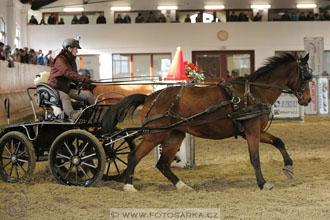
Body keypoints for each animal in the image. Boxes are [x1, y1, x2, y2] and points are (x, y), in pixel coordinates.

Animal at [105, 52, 312, 191]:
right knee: (134, 157)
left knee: (163, 164)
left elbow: (279, 141)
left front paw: (289, 167)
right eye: (307, 76)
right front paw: (263, 183)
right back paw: (129, 186)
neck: (254, 92)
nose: (308, 100)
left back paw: (182, 186)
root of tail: (150, 97)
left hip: (174, 135)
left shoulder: (256, 131)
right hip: (155, 135)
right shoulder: (252, 131)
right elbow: (255, 158)